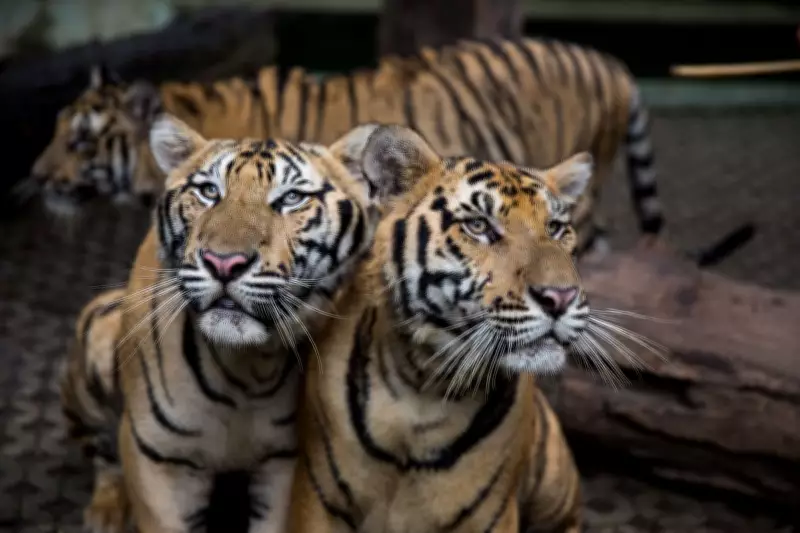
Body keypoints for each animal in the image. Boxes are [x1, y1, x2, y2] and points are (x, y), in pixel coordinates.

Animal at [59, 116, 406, 533]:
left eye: (292, 198)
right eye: (209, 191)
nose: (223, 263)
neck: (246, 371)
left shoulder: (284, 461)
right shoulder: (158, 460)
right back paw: (105, 512)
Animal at [289, 124, 593, 533]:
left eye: (556, 228)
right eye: (479, 226)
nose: (560, 297)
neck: (425, 388)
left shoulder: (491, 515)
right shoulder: (319, 500)